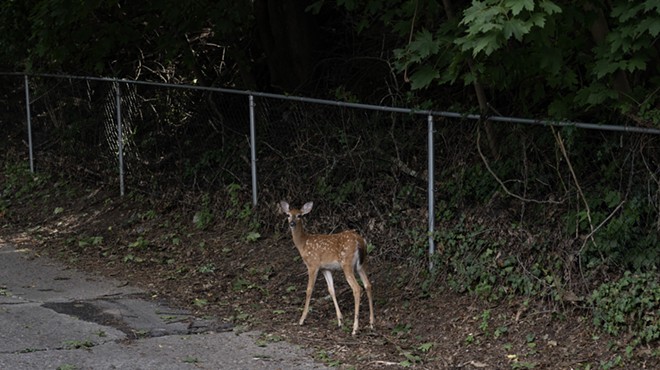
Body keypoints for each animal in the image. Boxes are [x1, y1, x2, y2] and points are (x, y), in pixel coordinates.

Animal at [278, 201, 374, 336]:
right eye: (288, 215)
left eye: (299, 216)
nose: (291, 223)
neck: (303, 244)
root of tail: (360, 241)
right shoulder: (325, 269)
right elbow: (331, 290)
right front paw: (340, 320)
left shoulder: (313, 265)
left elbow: (309, 290)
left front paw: (302, 319)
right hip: (361, 265)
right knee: (368, 285)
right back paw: (371, 323)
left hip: (347, 264)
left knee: (357, 288)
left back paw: (355, 328)